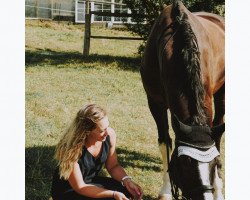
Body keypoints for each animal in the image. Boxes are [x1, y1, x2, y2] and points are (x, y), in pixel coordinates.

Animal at [141, 0, 225, 199]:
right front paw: (166, 190)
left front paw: (217, 186)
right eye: (185, 163)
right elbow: (165, 141)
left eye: (214, 162)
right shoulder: (155, 102)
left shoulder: (205, 101)